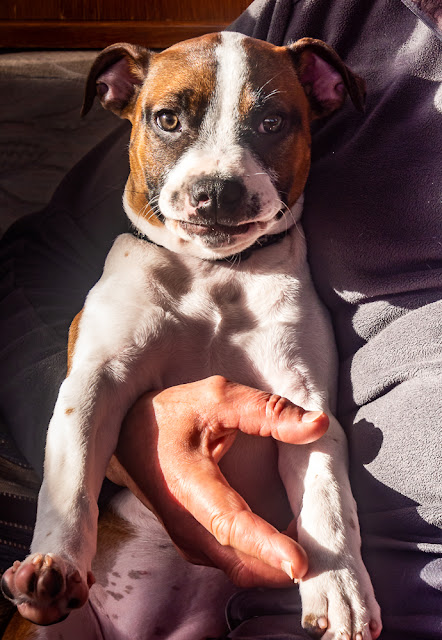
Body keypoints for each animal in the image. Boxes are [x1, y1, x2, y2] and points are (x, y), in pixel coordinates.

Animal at [1, 32, 380, 640]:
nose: (218, 191)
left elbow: (327, 500)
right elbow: (71, 477)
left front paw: (340, 586)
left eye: (273, 121)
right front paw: (54, 561)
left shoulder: (307, 408)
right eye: (168, 119)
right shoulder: (94, 383)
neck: (213, 272)